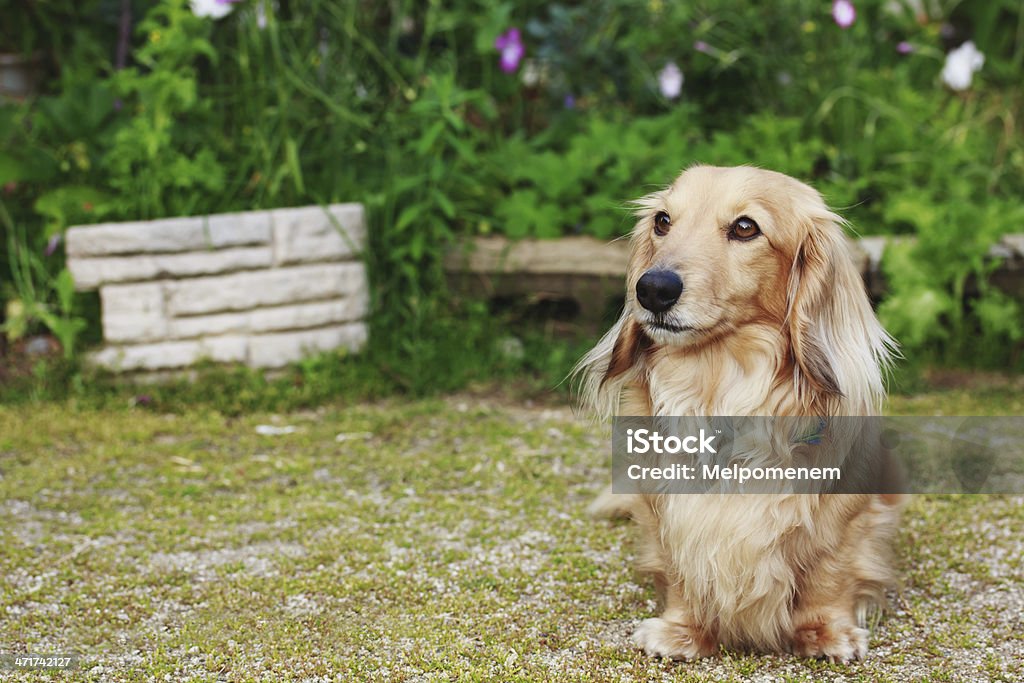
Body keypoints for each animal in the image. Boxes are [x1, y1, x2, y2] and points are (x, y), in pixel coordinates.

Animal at [577, 163, 905, 663]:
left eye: (745, 227)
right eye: (662, 221)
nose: (651, 288)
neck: (719, 388)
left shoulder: (847, 514)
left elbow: (828, 574)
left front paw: (826, 631)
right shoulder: (668, 511)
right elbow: (680, 569)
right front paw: (683, 630)